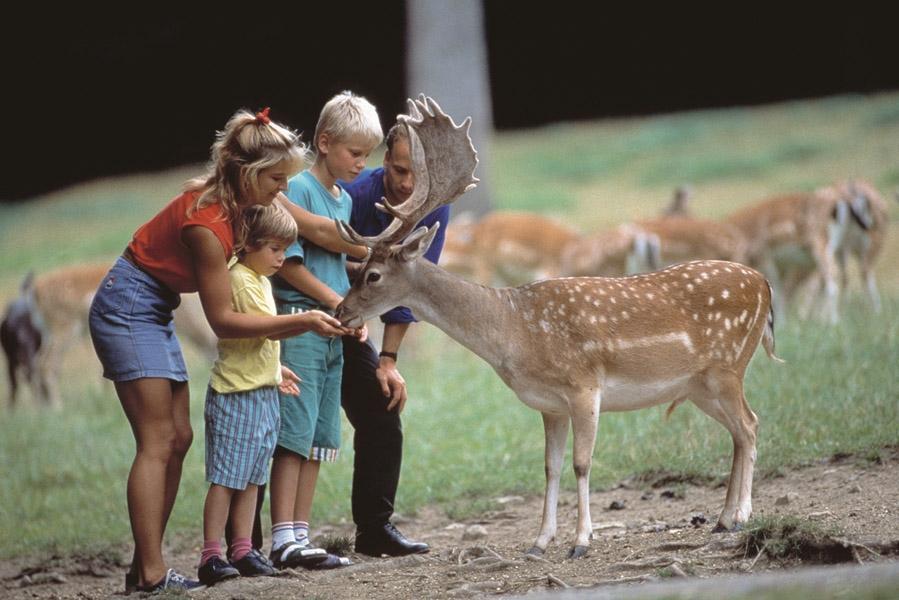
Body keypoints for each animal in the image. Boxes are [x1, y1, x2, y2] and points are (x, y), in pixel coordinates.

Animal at [334, 96, 784, 560]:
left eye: (372, 275)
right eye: (354, 269)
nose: (341, 311)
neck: (516, 331)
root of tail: (764, 285)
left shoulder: (585, 386)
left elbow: (581, 464)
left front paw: (581, 541)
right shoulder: (549, 404)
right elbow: (549, 468)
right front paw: (540, 541)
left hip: (729, 365)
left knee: (749, 425)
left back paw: (740, 516)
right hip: (699, 385)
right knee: (741, 430)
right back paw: (723, 518)